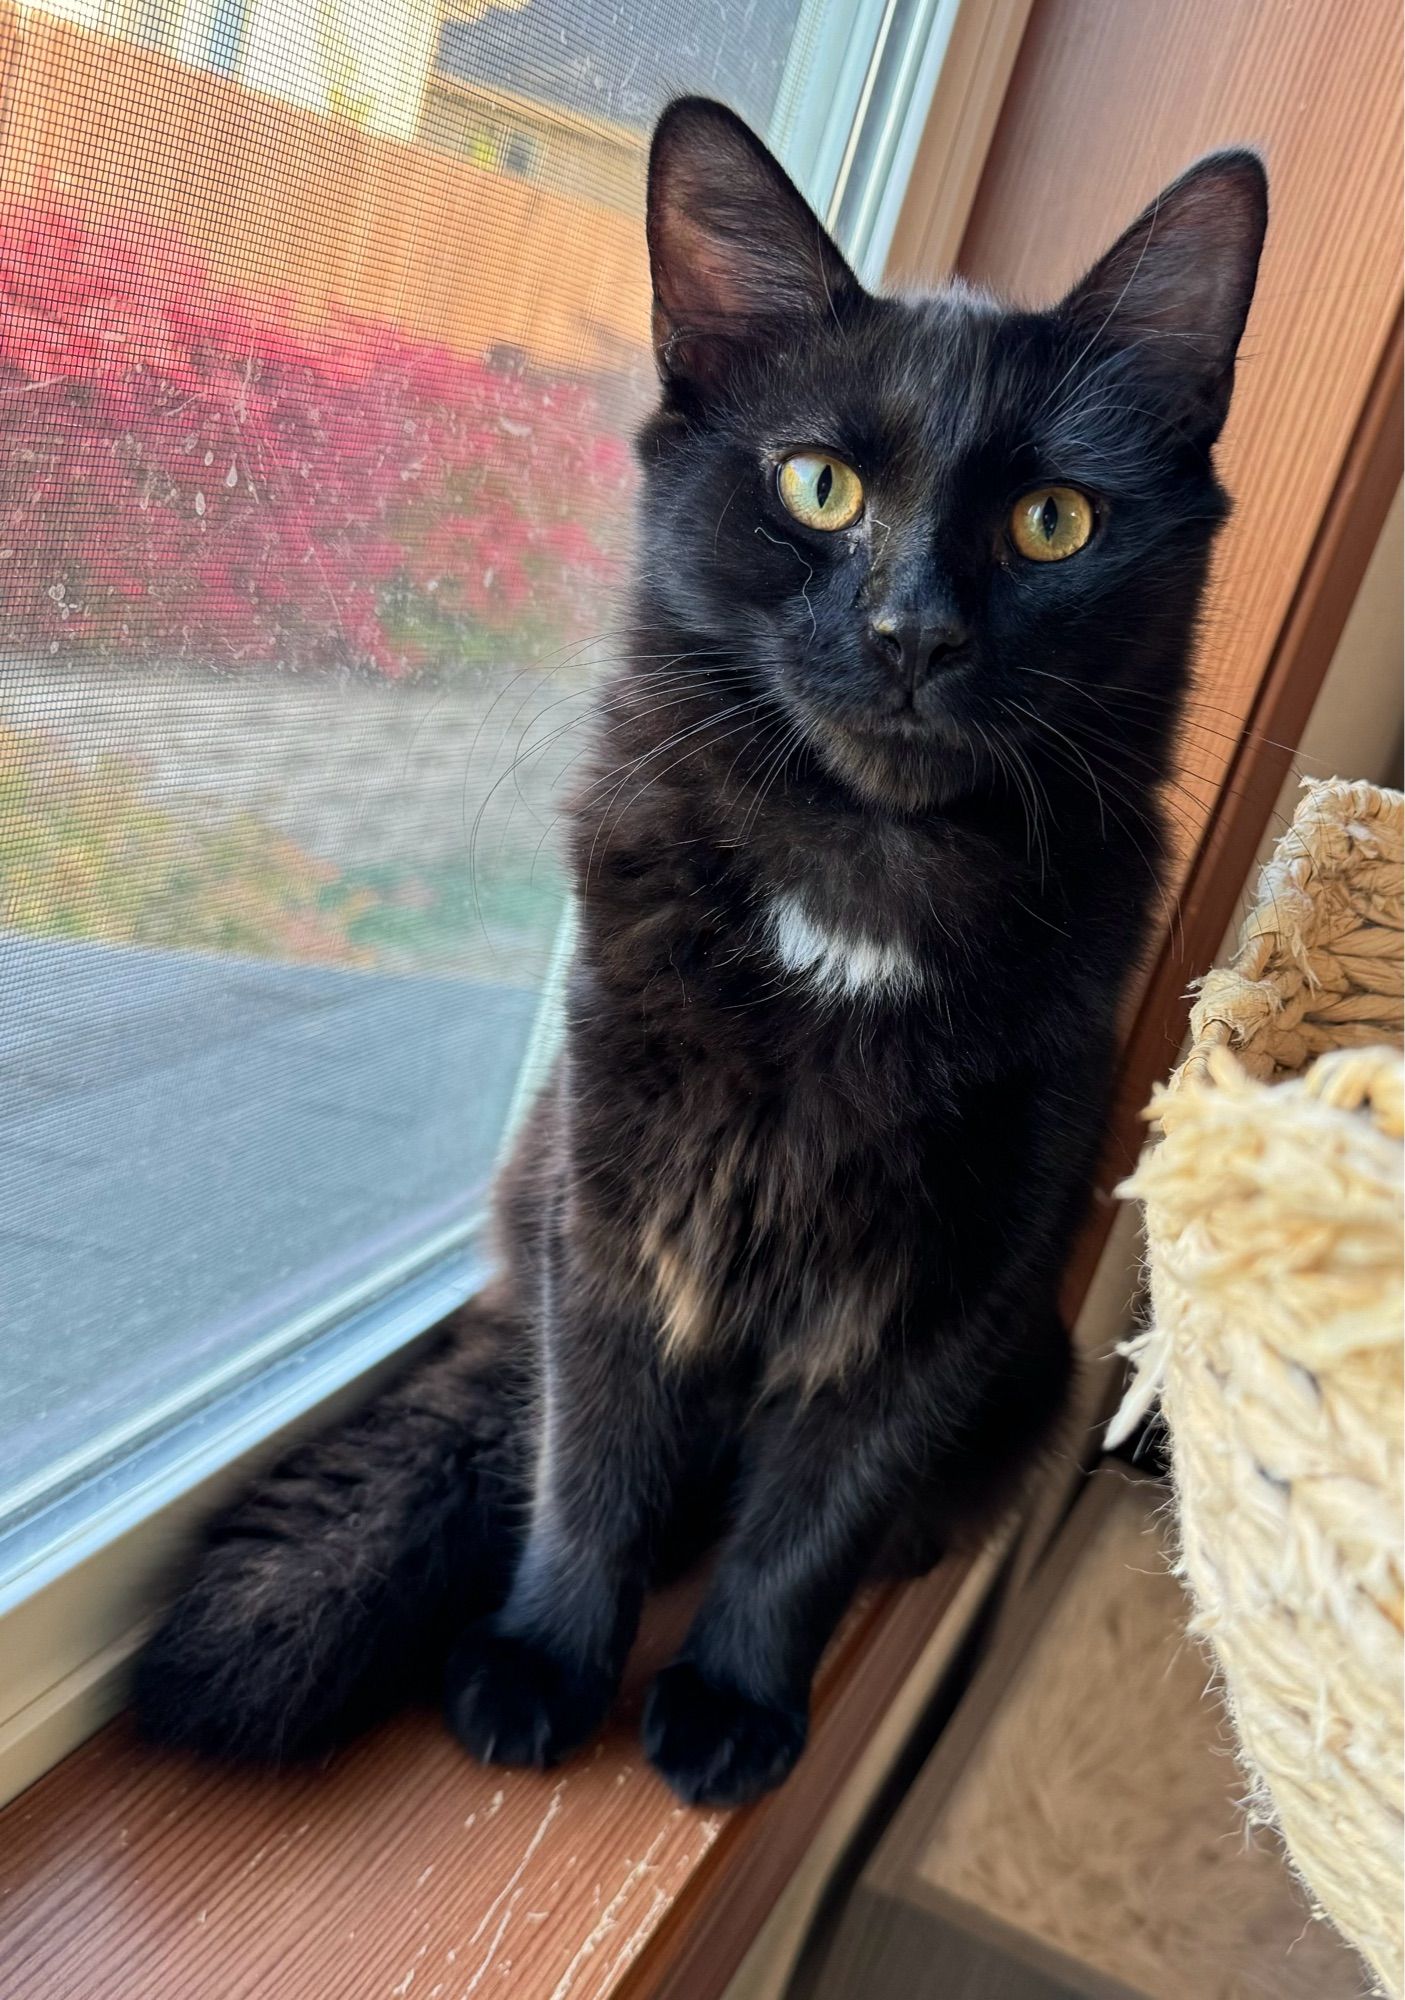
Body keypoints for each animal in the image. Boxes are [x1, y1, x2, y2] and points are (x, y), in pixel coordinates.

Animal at [138, 97, 1272, 1816]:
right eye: (817, 487)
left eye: (1052, 522)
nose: (913, 634)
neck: (857, 897)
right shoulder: (609, 1199)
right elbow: (592, 1457)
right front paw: (545, 1666)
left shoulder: (947, 1288)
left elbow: (813, 1519)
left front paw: (734, 1703)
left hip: (1032, 1373)